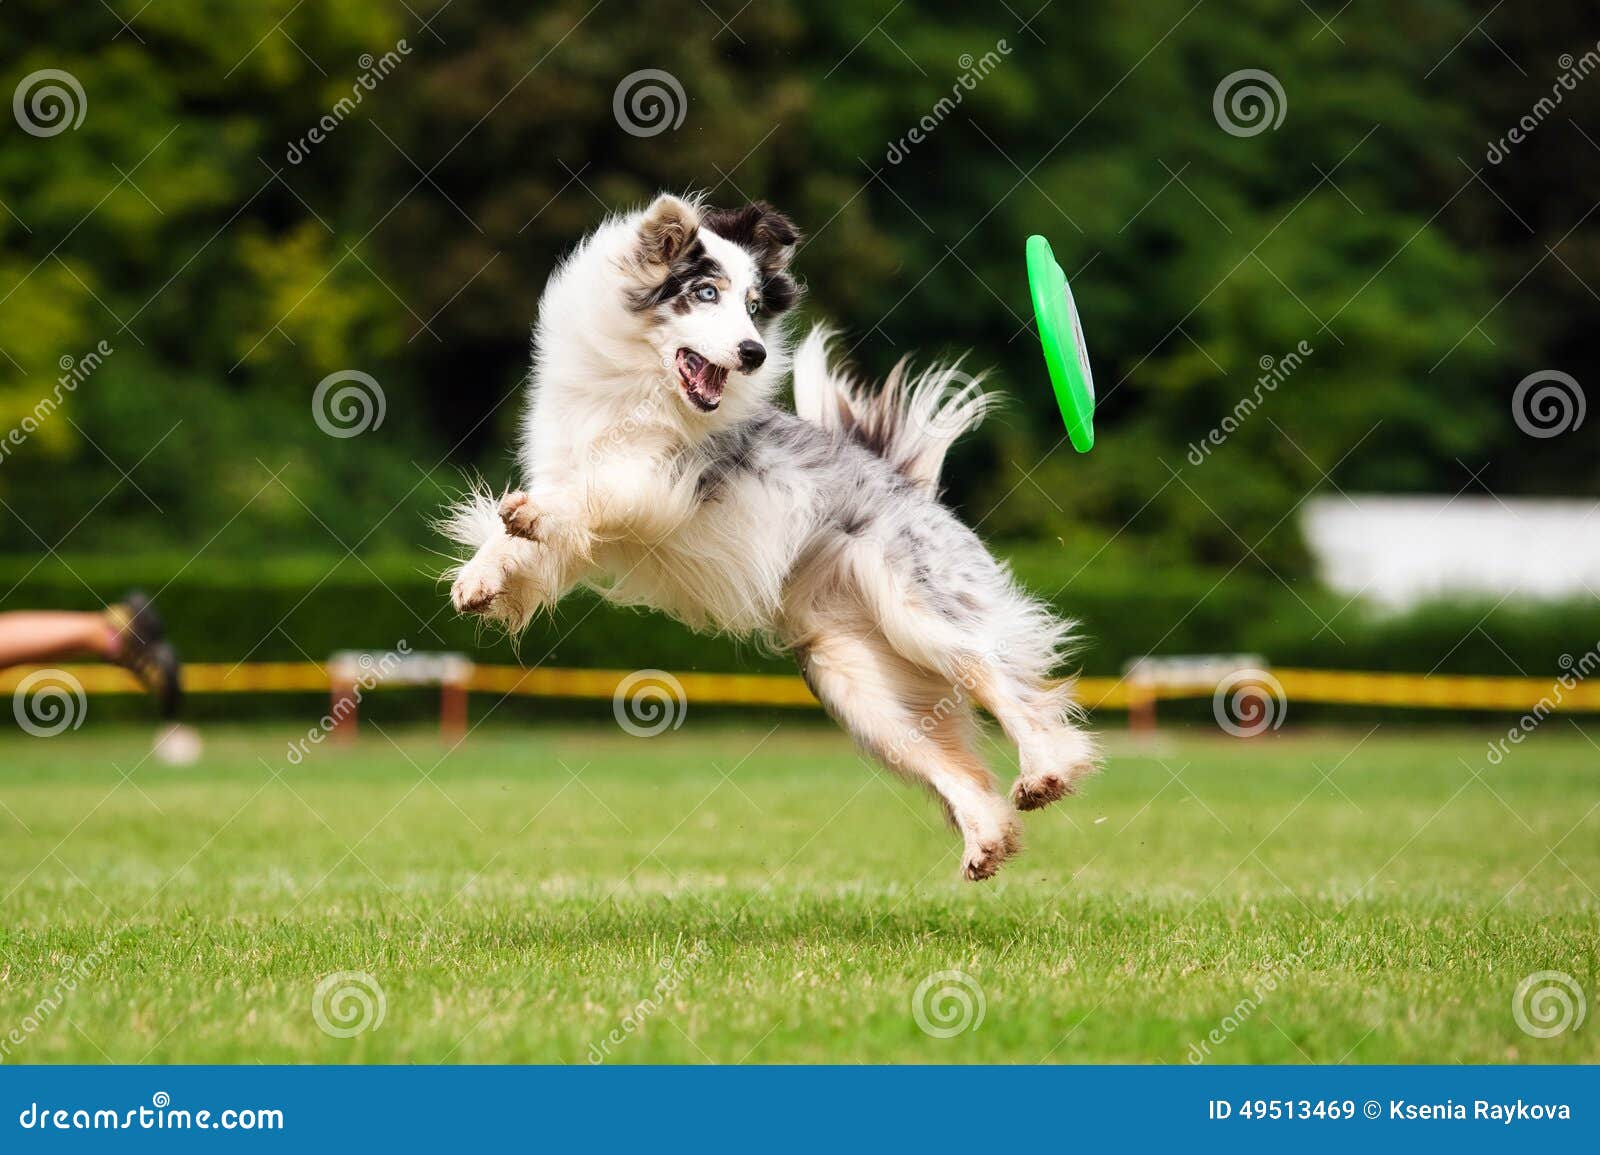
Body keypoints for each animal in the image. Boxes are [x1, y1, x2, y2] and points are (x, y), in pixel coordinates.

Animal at [451, 193, 1100, 876]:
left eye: (754, 306)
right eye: (706, 293)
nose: (754, 352)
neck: (635, 384)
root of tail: (906, 485)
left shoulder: (664, 479)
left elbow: (593, 491)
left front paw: (532, 516)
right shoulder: (577, 493)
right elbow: (524, 539)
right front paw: (479, 578)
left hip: (918, 608)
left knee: (997, 674)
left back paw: (1047, 769)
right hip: (856, 681)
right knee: (946, 761)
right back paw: (986, 838)